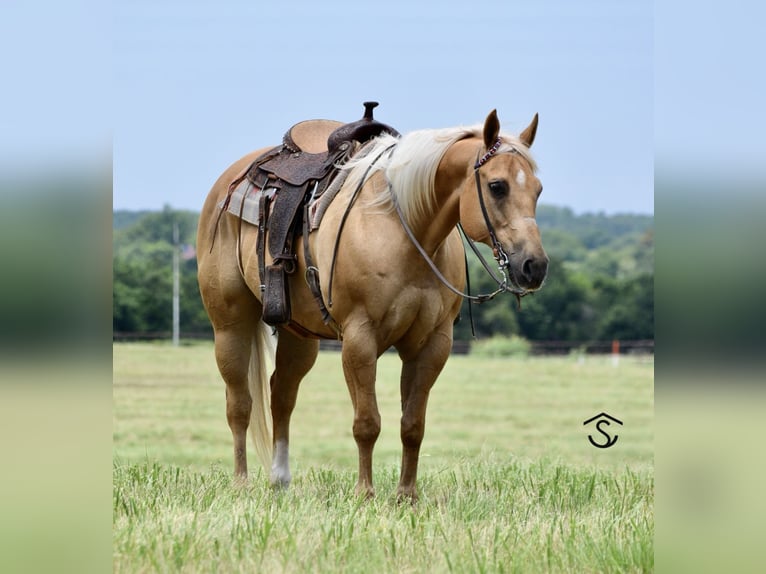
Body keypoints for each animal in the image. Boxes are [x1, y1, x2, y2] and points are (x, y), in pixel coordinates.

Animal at [196, 109, 548, 500]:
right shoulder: (359, 339)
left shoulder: (432, 344)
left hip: (299, 336)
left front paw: (407, 495)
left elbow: (413, 424)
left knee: (281, 395)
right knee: (239, 404)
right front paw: (365, 493)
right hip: (231, 326)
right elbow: (367, 422)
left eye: (537, 189)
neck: (403, 227)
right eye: (497, 186)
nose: (534, 266)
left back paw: (280, 480)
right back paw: (241, 482)